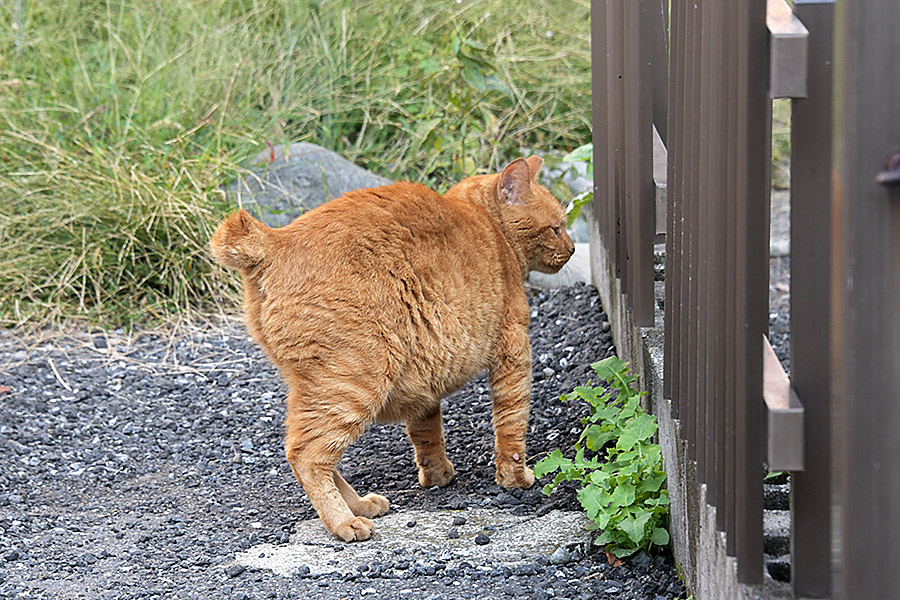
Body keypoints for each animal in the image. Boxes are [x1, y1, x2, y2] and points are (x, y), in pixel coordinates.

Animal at [210, 157, 572, 540]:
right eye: (556, 228)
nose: (573, 248)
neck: (486, 223)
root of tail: (274, 241)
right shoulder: (513, 352)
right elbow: (512, 427)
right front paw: (515, 479)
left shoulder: (425, 376)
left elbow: (427, 432)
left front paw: (437, 475)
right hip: (354, 380)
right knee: (306, 455)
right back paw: (344, 521)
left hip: (316, 387)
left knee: (315, 451)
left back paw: (360, 504)